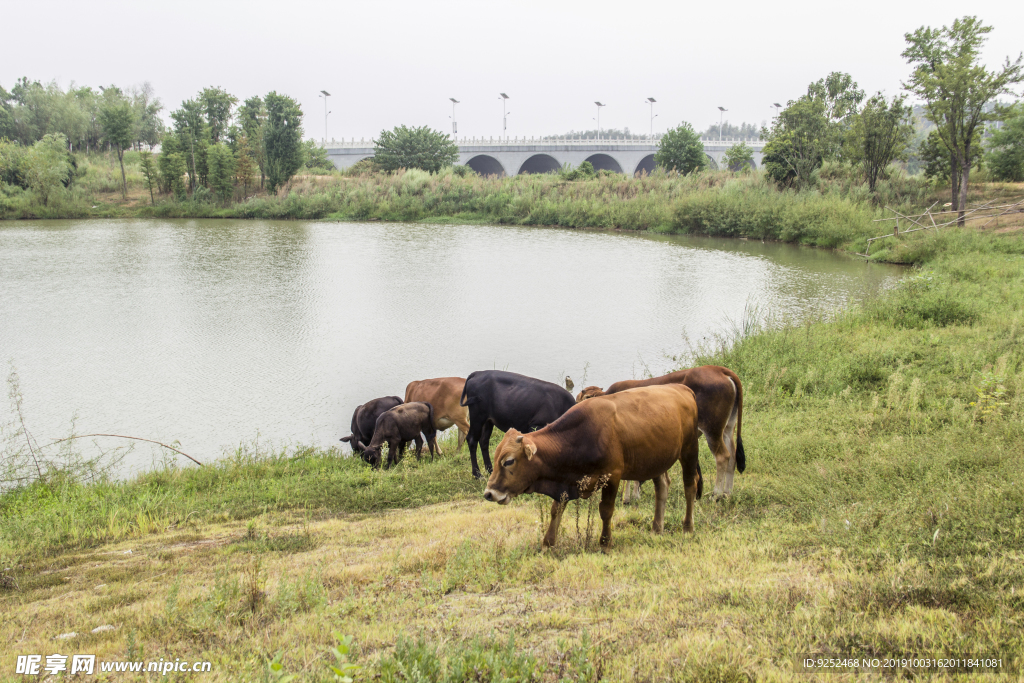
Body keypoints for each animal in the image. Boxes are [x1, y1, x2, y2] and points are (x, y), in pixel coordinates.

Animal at [483, 385, 700, 548]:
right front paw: (548, 543)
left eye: (508, 461)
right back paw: (656, 528)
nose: (489, 494)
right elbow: (556, 510)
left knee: (690, 486)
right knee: (662, 486)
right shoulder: (565, 484)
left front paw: (605, 543)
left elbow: (606, 510)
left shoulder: (612, 477)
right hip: (656, 460)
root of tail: (681, 388)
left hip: (689, 450)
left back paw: (688, 527)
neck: (579, 436)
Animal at [577, 368, 745, 497]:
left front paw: (627, 497)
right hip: (727, 428)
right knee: (732, 455)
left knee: (723, 456)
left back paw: (716, 494)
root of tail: (720, 370)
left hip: (712, 429)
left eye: (585, 397)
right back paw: (727, 493)